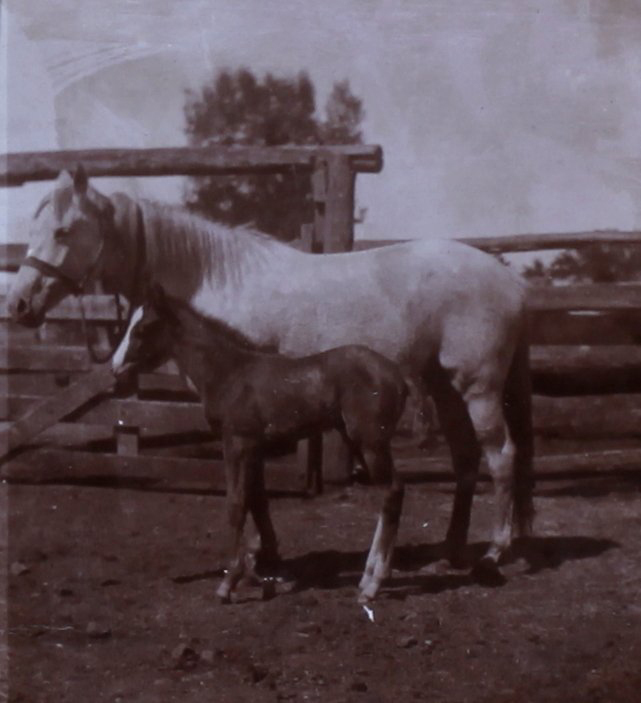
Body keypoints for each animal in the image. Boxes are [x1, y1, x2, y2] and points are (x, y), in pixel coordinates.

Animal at [111, 285, 409, 602]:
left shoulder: (236, 443)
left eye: (142, 328)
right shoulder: (255, 449)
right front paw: (266, 573)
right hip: (357, 442)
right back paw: (367, 579)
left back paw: (374, 584)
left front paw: (228, 582)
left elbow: (236, 504)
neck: (228, 372)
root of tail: (398, 376)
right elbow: (258, 503)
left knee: (392, 491)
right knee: (388, 494)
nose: (115, 368)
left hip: (371, 443)